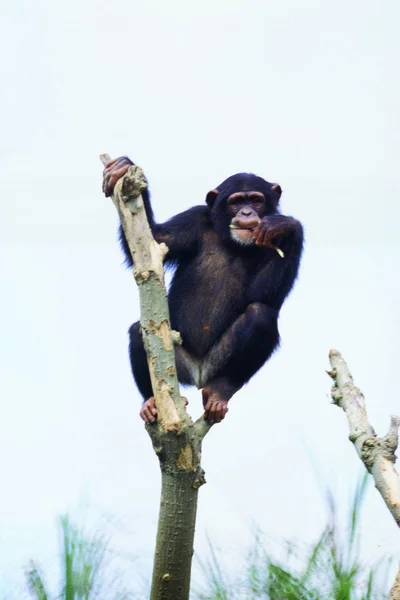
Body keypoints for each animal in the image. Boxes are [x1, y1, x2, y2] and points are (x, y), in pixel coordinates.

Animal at [103, 157, 304, 424]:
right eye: (236, 202)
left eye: (256, 200)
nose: (247, 212)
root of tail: (198, 375)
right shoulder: (194, 219)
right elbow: (155, 239)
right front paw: (122, 169)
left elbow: (266, 296)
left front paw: (288, 226)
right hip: (178, 364)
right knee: (139, 331)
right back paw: (151, 402)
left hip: (217, 363)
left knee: (261, 314)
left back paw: (221, 391)